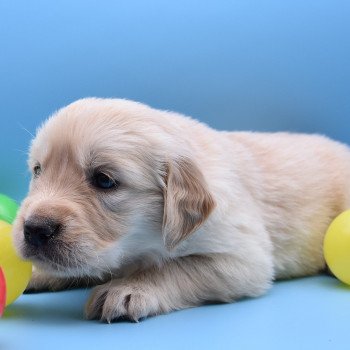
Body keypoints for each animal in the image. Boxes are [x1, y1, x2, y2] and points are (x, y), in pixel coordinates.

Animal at [12, 97, 350, 322]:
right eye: (38, 170)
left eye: (104, 180)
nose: (35, 228)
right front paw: (37, 273)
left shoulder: (243, 258)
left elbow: (176, 268)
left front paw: (128, 288)